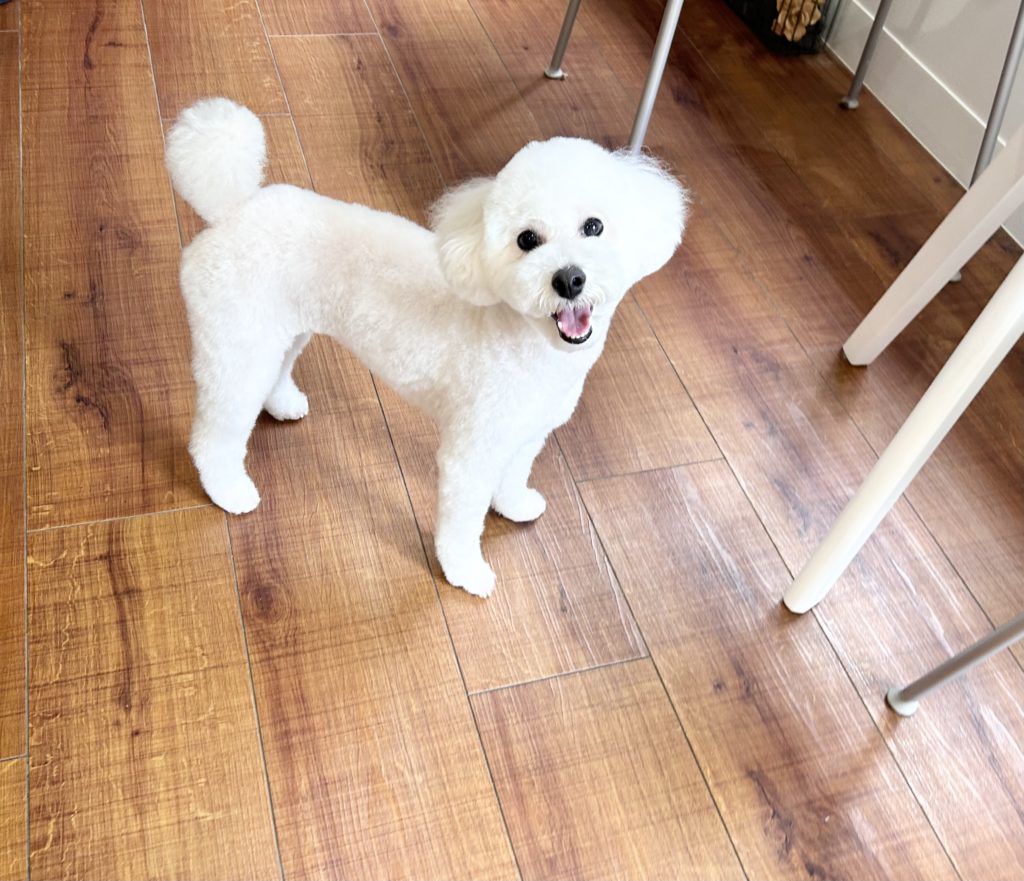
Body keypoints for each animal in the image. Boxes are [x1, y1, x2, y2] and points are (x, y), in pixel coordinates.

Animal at [166, 98, 687, 598]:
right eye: (526, 240)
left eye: (594, 226)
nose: (569, 279)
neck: (525, 341)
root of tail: (233, 209)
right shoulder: (471, 451)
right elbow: (462, 522)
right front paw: (465, 572)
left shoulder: (525, 434)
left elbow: (514, 475)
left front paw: (514, 505)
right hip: (238, 344)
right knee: (214, 434)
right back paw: (228, 491)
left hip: (282, 330)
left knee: (275, 371)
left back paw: (283, 403)